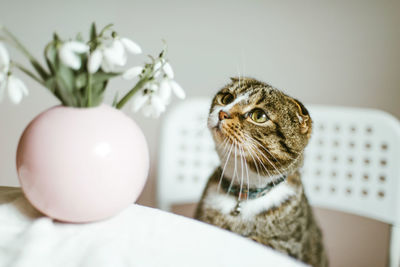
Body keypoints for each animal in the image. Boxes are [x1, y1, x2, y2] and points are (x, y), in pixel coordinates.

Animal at [194, 77, 328, 267]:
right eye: (227, 98)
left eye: (259, 116)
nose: (222, 113)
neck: (244, 192)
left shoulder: (290, 248)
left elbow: (259, 243)